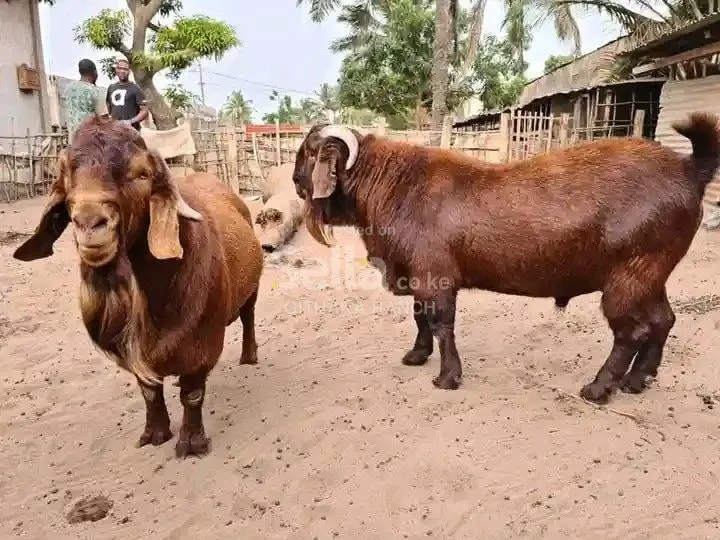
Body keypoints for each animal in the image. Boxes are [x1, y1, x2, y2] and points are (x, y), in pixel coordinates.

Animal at [13, 117, 264, 458]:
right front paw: (155, 433)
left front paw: (191, 444)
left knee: (248, 317)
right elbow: (149, 391)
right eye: (66, 173)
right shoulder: (137, 350)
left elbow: (193, 394)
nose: (90, 223)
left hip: (252, 289)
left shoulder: (202, 342)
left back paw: (249, 357)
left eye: (142, 174)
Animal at [291, 114, 720, 404]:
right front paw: (416, 355)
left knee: (631, 332)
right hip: (653, 274)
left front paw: (448, 377)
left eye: (310, 154)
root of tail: (688, 169)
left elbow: (440, 322)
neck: (397, 185)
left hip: (629, 277)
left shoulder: (435, 276)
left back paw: (600, 387)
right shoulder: (417, 274)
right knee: (664, 320)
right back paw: (637, 380)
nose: (295, 182)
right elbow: (419, 315)